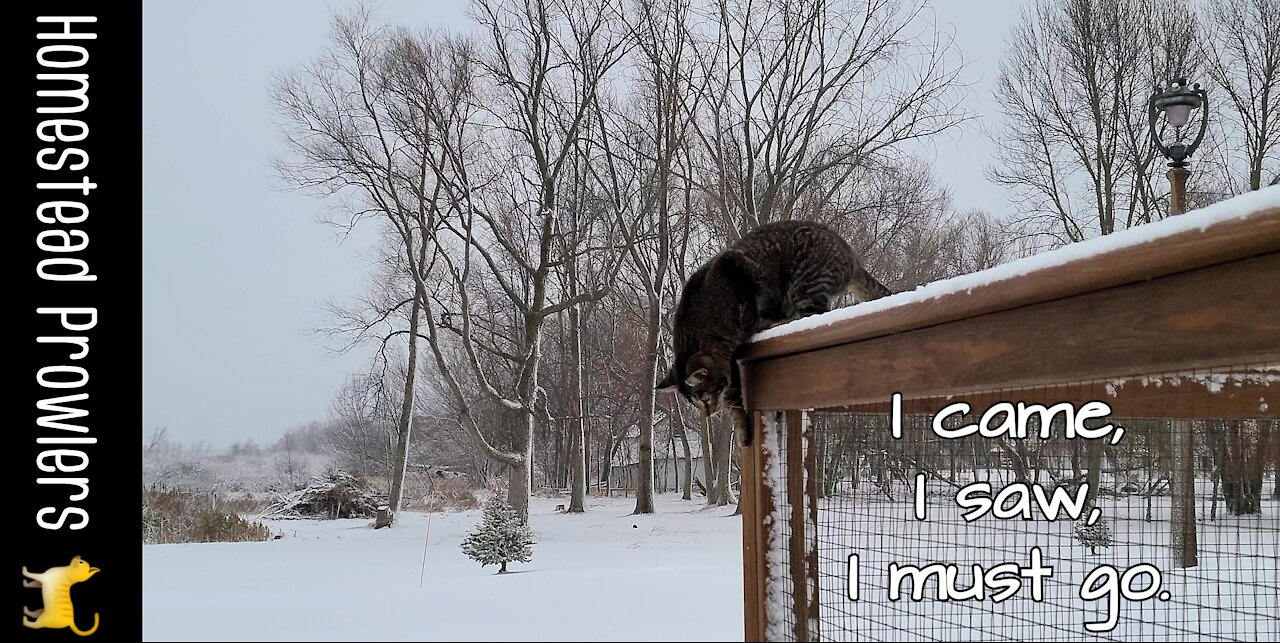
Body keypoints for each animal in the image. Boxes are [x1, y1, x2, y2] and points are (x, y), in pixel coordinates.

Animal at [660, 219, 890, 445]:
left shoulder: (736, 270)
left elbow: (734, 394)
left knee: (814, 315)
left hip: (804, 283)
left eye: (705, 398)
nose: (707, 414)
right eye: (697, 404)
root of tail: (852, 257)